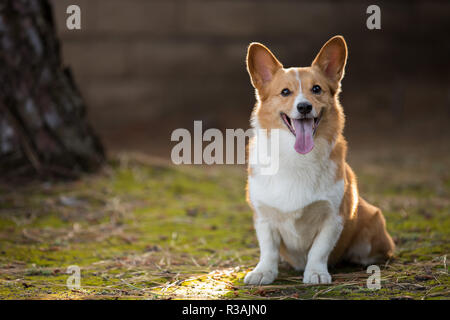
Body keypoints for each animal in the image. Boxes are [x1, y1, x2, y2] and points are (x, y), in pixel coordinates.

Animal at [243, 35, 394, 284]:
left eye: (316, 89)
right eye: (285, 92)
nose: (304, 106)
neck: (296, 157)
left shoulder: (333, 217)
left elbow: (319, 250)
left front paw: (315, 273)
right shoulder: (263, 216)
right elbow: (268, 249)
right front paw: (263, 272)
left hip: (372, 221)